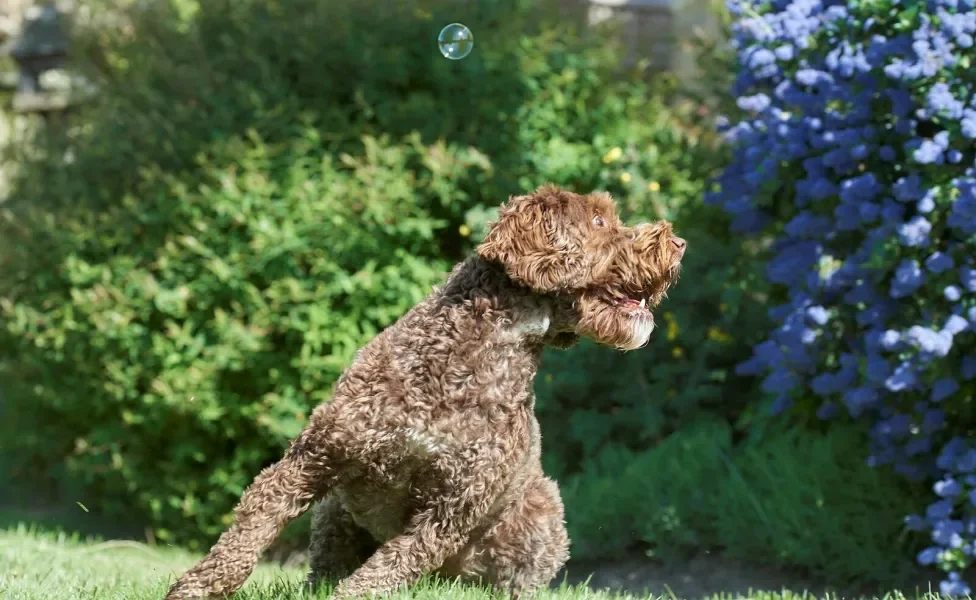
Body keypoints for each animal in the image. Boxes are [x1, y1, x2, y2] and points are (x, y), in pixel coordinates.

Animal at [166, 185, 688, 596]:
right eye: (600, 220)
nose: (679, 242)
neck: (472, 358)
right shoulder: (314, 457)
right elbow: (249, 531)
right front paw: (195, 589)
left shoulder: (450, 510)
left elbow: (384, 571)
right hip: (335, 511)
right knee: (322, 571)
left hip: (542, 515)